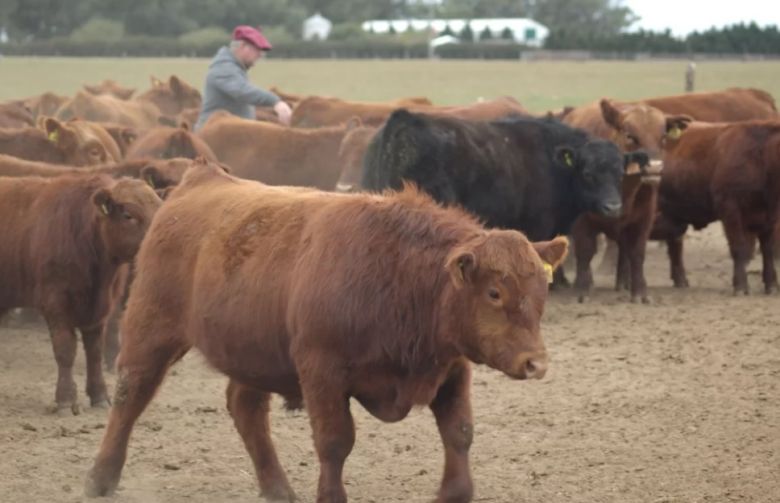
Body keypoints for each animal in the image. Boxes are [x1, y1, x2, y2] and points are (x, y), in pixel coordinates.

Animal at [0, 173, 161, 414]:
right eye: (128, 215)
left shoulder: (99, 310)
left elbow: (94, 353)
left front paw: (99, 395)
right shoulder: (56, 305)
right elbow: (65, 350)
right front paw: (66, 399)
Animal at [84, 163, 568, 502]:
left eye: (541, 289)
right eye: (494, 292)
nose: (536, 363)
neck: (401, 274)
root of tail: (196, 181)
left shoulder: (451, 370)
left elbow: (459, 432)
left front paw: (455, 493)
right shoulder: (322, 372)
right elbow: (335, 442)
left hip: (251, 352)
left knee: (246, 409)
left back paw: (277, 488)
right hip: (151, 328)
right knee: (130, 395)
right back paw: (100, 478)